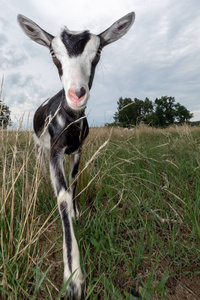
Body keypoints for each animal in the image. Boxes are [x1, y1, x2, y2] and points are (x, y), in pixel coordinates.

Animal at [17, 12, 136, 298]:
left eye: (98, 52)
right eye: (53, 53)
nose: (77, 94)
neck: (69, 120)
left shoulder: (78, 150)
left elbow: (73, 183)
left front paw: (76, 213)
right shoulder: (55, 152)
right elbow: (61, 195)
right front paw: (73, 278)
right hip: (39, 148)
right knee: (39, 168)